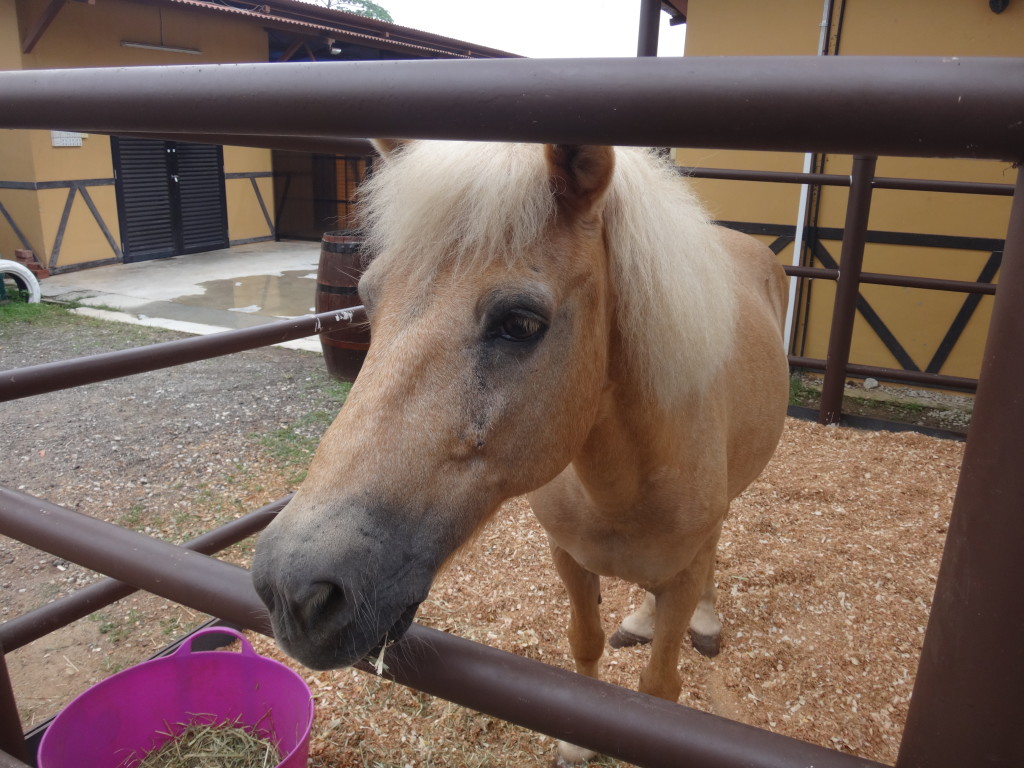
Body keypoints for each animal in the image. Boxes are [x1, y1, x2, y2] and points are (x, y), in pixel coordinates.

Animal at [252, 140, 790, 764]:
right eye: (366, 300)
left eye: (521, 323)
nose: (292, 591)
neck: (623, 489)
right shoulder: (569, 558)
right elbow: (585, 641)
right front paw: (579, 742)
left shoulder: (679, 577)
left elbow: (659, 687)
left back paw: (703, 620)